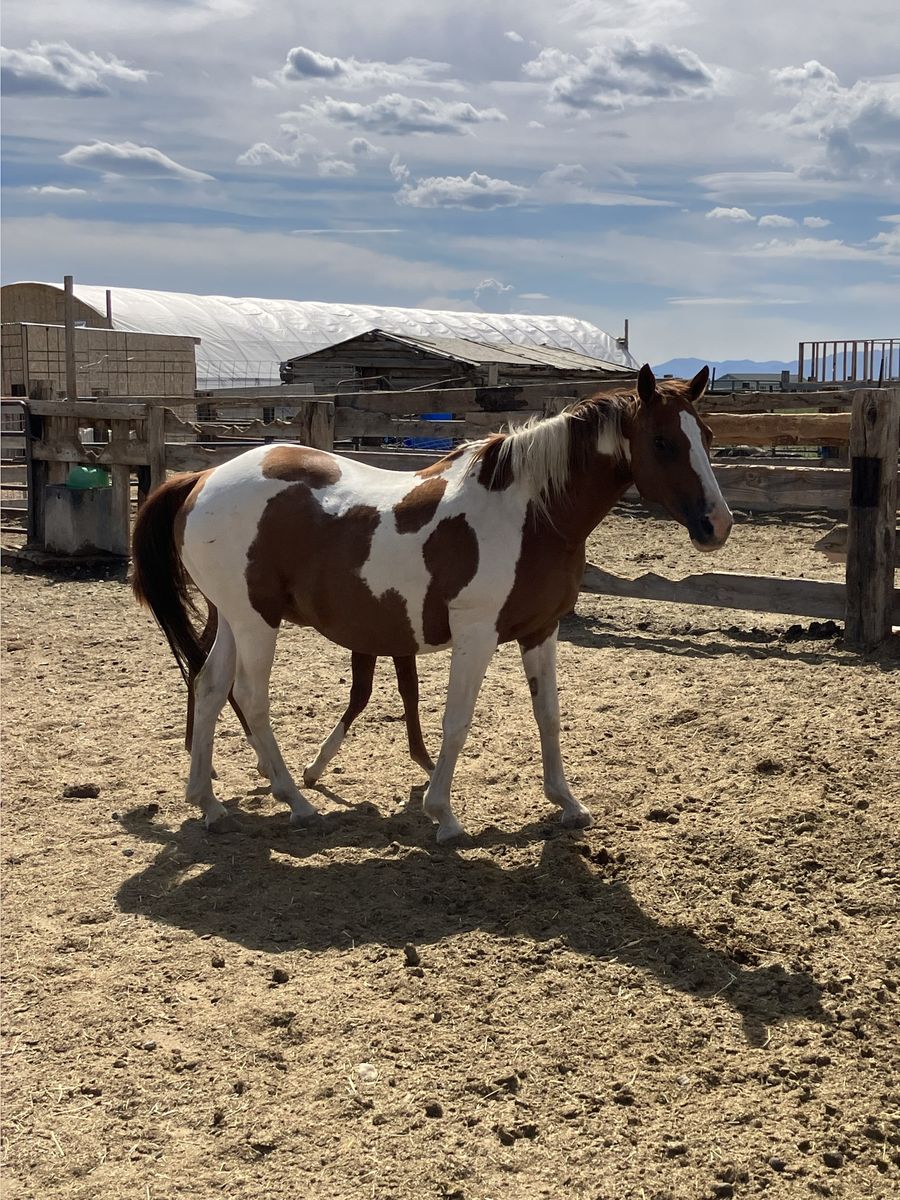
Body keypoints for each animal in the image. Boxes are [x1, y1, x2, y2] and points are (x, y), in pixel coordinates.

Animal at [132, 364, 732, 842]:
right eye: (662, 441)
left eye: (705, 434)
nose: (717, 525)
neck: (529, 515)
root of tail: (202, 476)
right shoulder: (477, 636)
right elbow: (457, 721)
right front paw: (442, 814)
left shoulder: (542, 630)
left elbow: (548, 715)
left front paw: (567, 802)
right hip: (257, 621)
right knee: (250, 698)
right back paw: (296, 802)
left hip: (236, 619)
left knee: (209, 687)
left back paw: (208, 803)